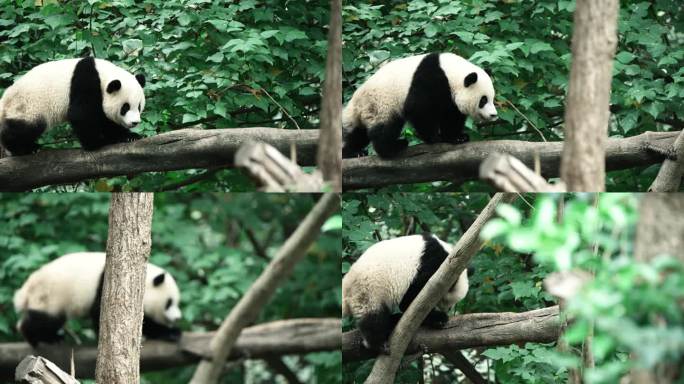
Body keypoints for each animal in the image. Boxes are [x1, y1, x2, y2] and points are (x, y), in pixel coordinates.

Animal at [12, 250, 182, 346]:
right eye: (169, 303)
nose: (178, 318)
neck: (140, 277)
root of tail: (25, 291)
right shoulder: (109, 284)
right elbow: (101, 312)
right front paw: (171, 333)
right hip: (50, 296)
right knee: (44, 320)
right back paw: (36, 337)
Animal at [342, 52, 496, 158]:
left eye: (492, 98)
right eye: (483, 100)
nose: (494, 115)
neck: (452, 73)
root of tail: (355, 101)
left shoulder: (450, 97)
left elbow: (451, 116)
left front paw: (456, 137)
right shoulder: (430, 79)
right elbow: (419, 109)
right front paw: (434, 138)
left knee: (358, 133)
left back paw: (352, 152)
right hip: (380, 103)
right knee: (385, 128)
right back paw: (393, 146)